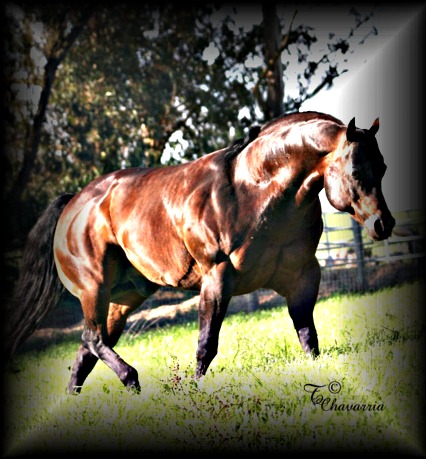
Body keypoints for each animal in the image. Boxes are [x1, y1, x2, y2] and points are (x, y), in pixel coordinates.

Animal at [4, 112, 396, 396]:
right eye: (356, 169)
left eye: (383, 168)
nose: (383, 224)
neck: (254, 190)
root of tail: (73, 203)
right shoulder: (217, 277)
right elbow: (207, 344)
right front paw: (194, 389)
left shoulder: (302, 276)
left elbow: (308, 337)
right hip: (94, 290)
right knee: (93, 339)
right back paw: (132, 379)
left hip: (124, 297)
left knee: (88, 348)